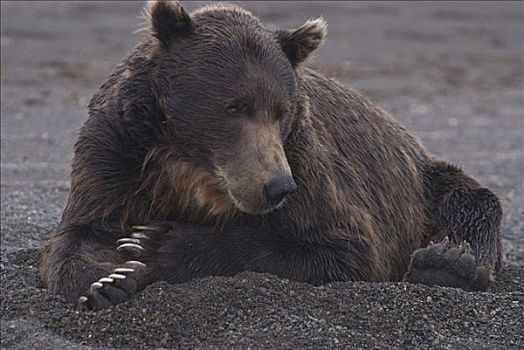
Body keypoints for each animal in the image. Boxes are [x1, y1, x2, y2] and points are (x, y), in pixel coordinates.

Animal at [39, 1, 502, 310]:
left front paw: (158, 244)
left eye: (282, 109)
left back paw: (449, 263)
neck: (193, 164)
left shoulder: (307, 163)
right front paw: (108, 280)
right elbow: (78, 232)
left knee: (471, 203)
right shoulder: (118, 153)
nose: (277, 186)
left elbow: (341, 248)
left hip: (425, 185)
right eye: (233, 106)